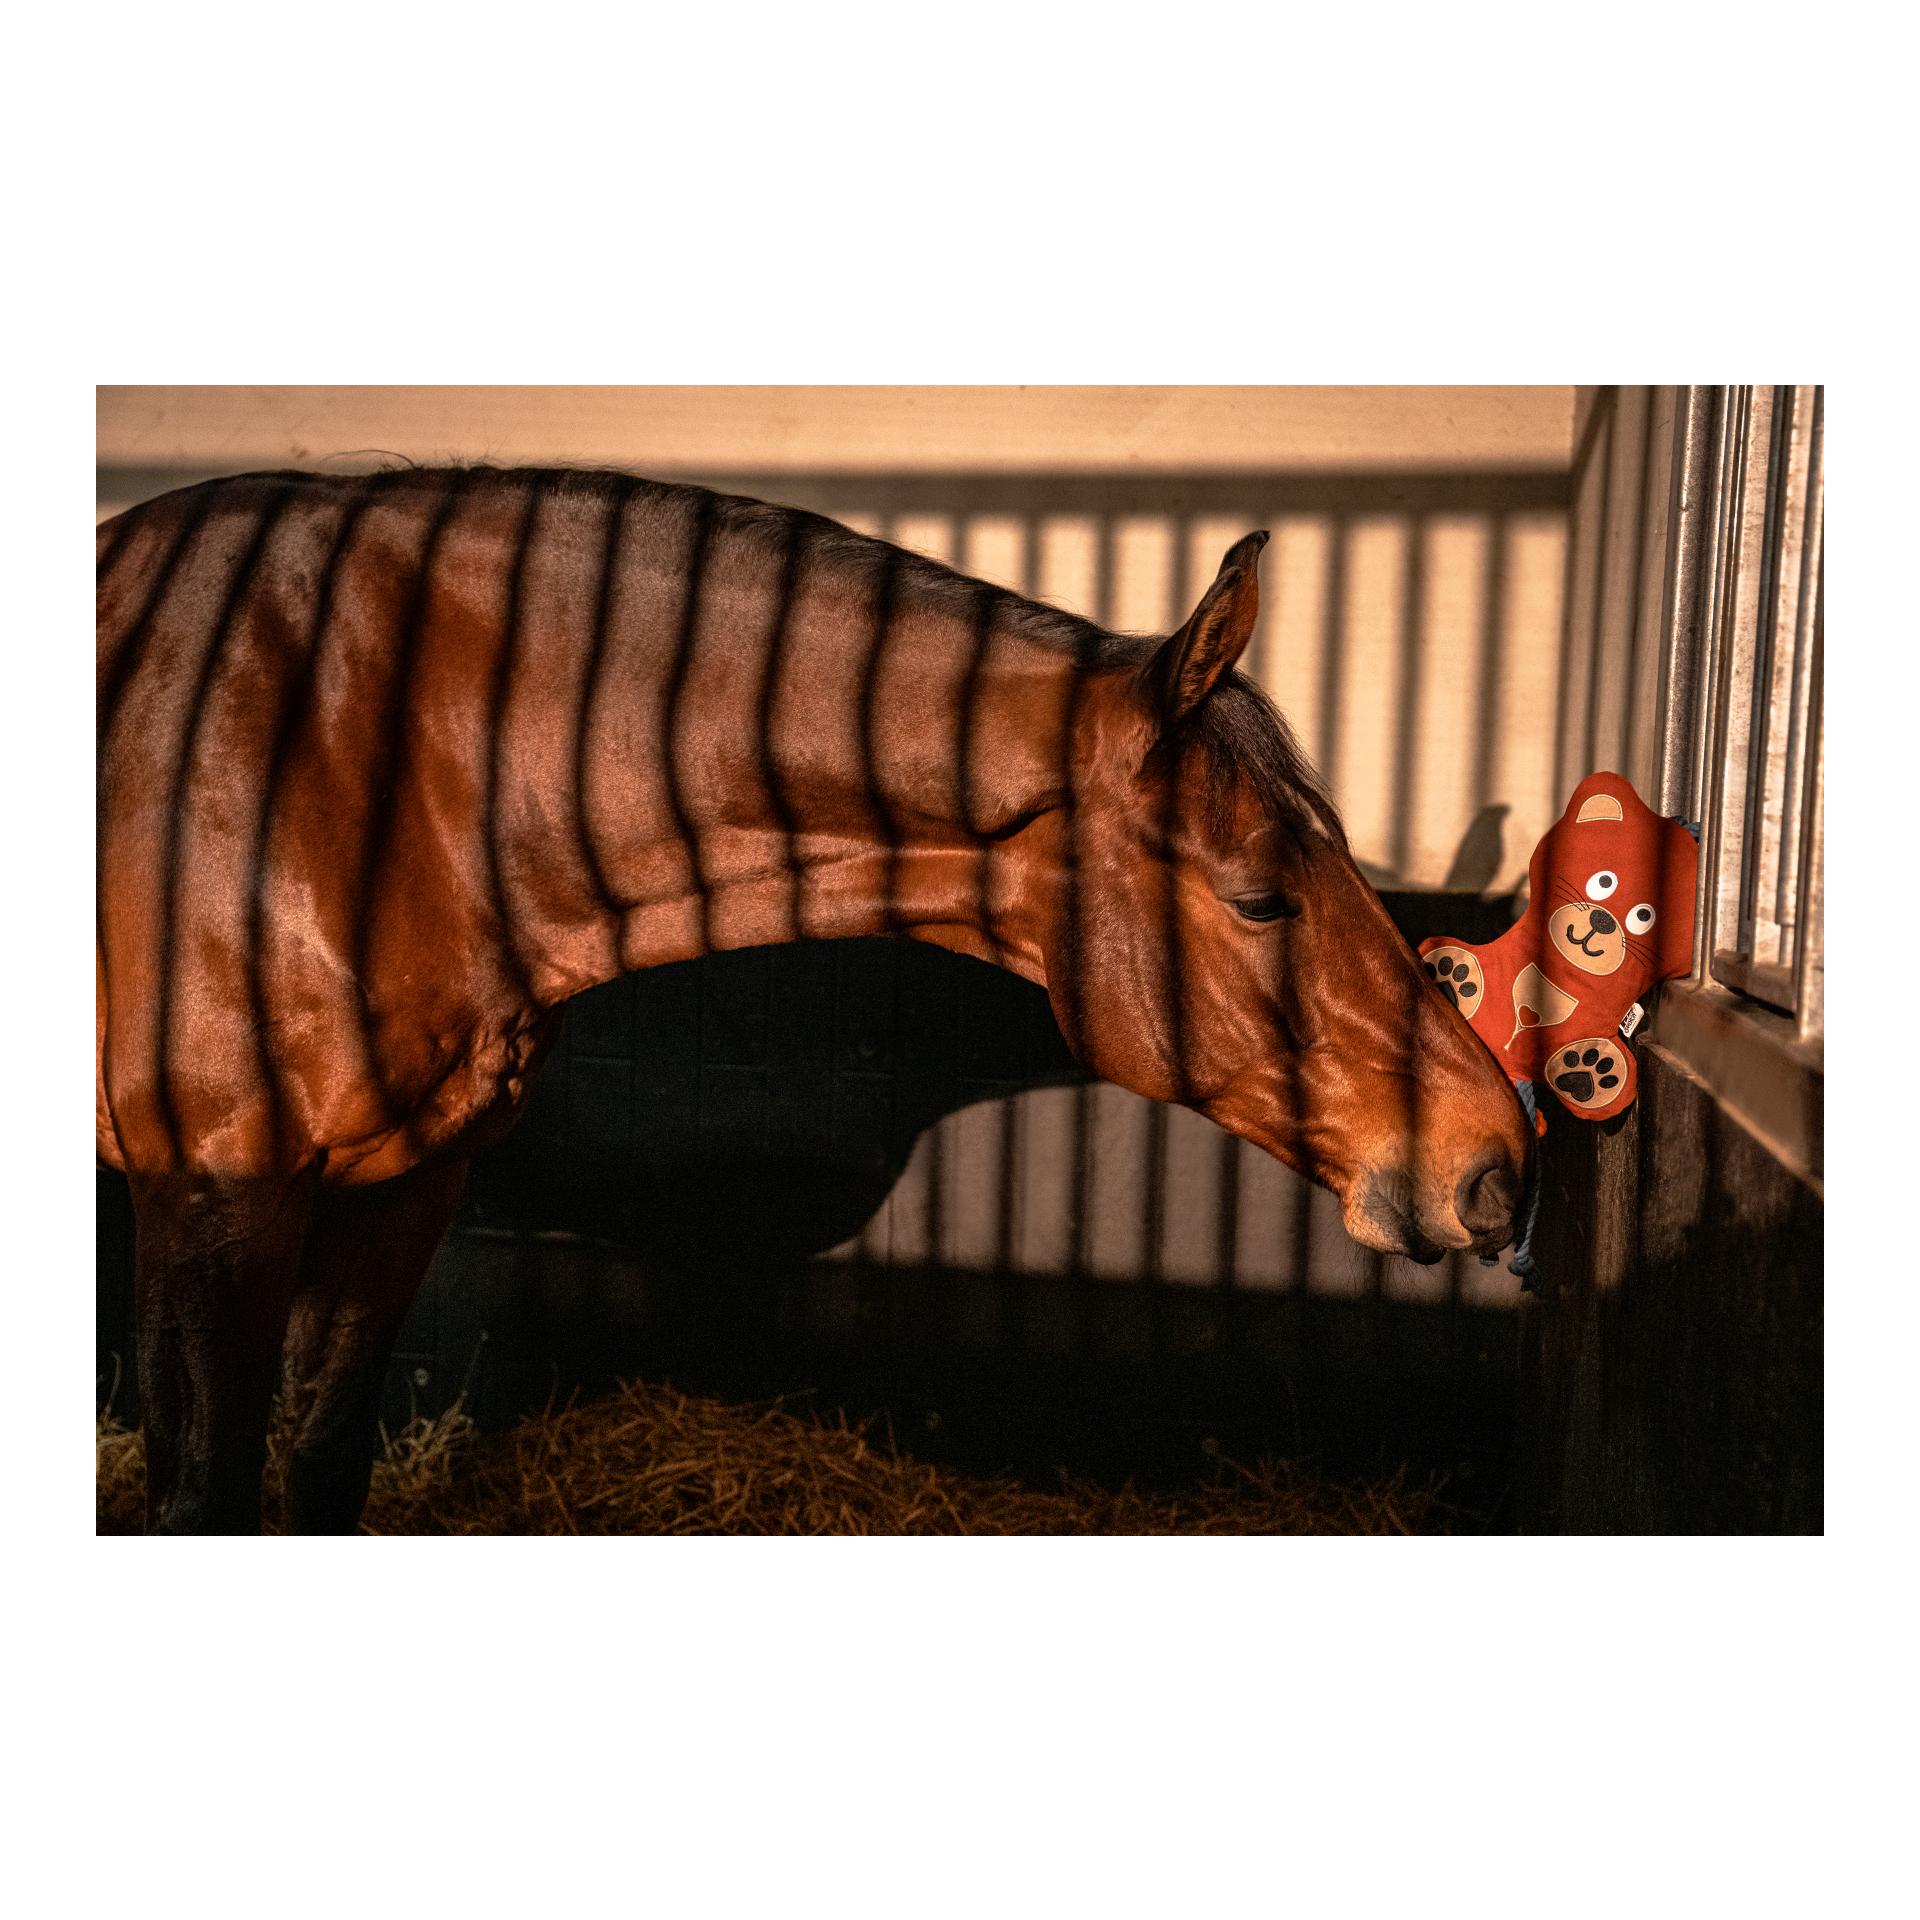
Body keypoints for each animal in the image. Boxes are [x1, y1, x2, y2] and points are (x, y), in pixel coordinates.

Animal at [97, 466, 1532, 1532]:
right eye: (1261, 899)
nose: (1496, 1163)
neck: (357, 766)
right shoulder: (214, 1202)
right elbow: (201, 1500)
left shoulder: (404, 1190)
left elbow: (323, 1465)